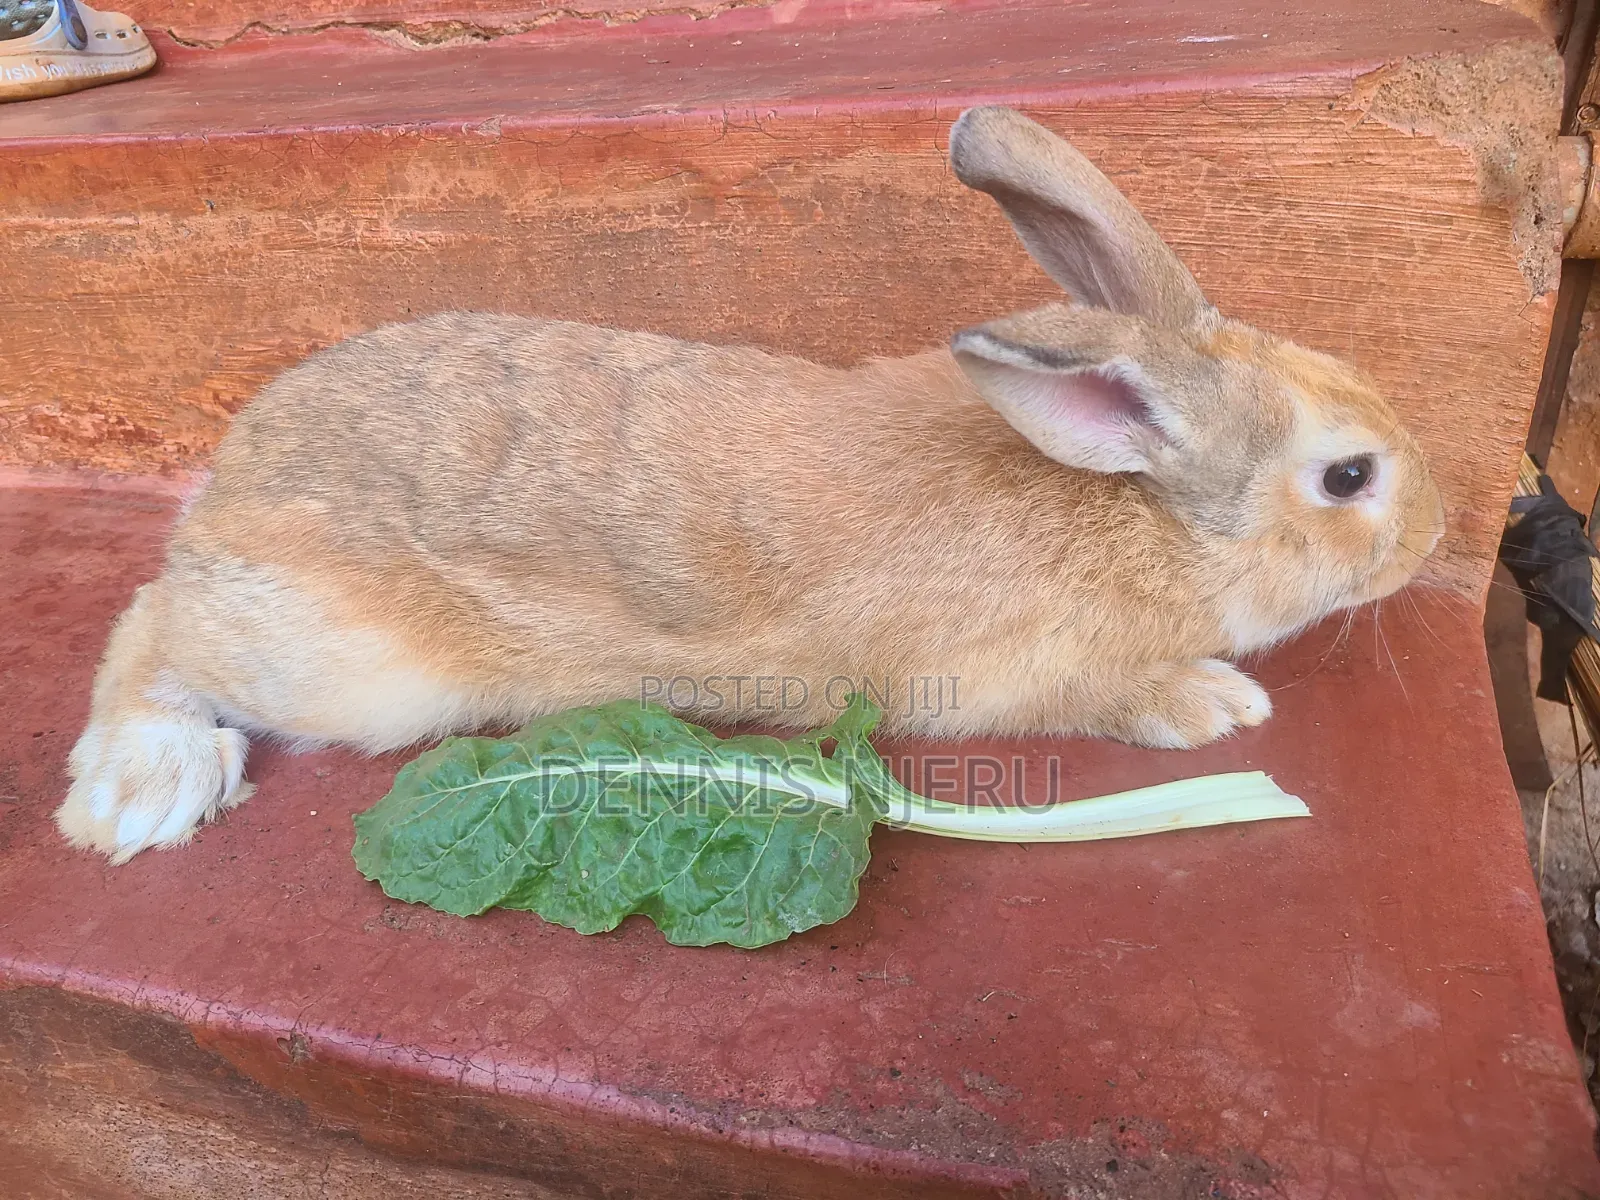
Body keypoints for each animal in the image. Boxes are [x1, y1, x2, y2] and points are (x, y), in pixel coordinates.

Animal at [59, 106, 1445, 863]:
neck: (1139, 505)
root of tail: (225, 489)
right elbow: (1109, 697)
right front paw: (1215, 706)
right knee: (149, 627)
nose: (1435, 534)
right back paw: (142, 791)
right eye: (1348, 476)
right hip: (346, 671)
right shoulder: (1010, 676)